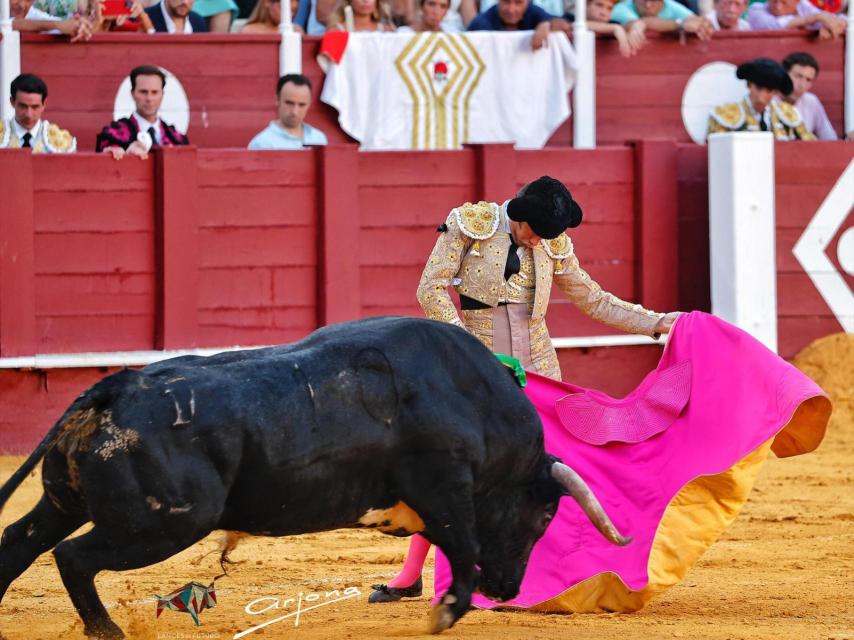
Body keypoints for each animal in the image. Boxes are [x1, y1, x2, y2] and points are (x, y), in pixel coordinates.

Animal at [0, 318, 628, 636]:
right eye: (543, 516)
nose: (509, 590)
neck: (474, 399)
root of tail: (116, 385)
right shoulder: (446, 487)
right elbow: (465, 544)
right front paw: (448, 611)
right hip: (162, 524)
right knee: (73, 557)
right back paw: (108, 632)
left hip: (67, 501)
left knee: (20, 539)